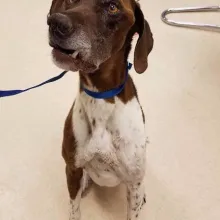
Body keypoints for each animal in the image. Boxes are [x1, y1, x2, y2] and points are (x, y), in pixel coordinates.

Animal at [46, 0, 153, 220]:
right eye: (69, 0)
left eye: (112, 7)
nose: (56, 23)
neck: (100, 97)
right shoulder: (72, 170)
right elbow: (74, 209)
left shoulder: (134, 184)